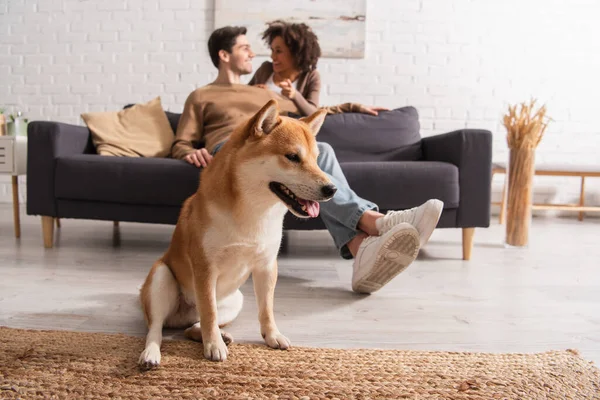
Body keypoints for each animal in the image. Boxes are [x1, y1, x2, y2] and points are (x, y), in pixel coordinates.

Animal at [139, 101, 338, 368]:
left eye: (316, 159)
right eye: (292, 157)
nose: (332, 189)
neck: (254, 212)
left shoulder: (266, 265)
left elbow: (266, 309)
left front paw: (272, 336)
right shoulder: (205, 267)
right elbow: (209, 312)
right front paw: (213, 346)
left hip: (236, 300)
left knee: (193, 326)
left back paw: (213, 334)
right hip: (162, 278)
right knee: (157, 328)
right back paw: (152, 353)